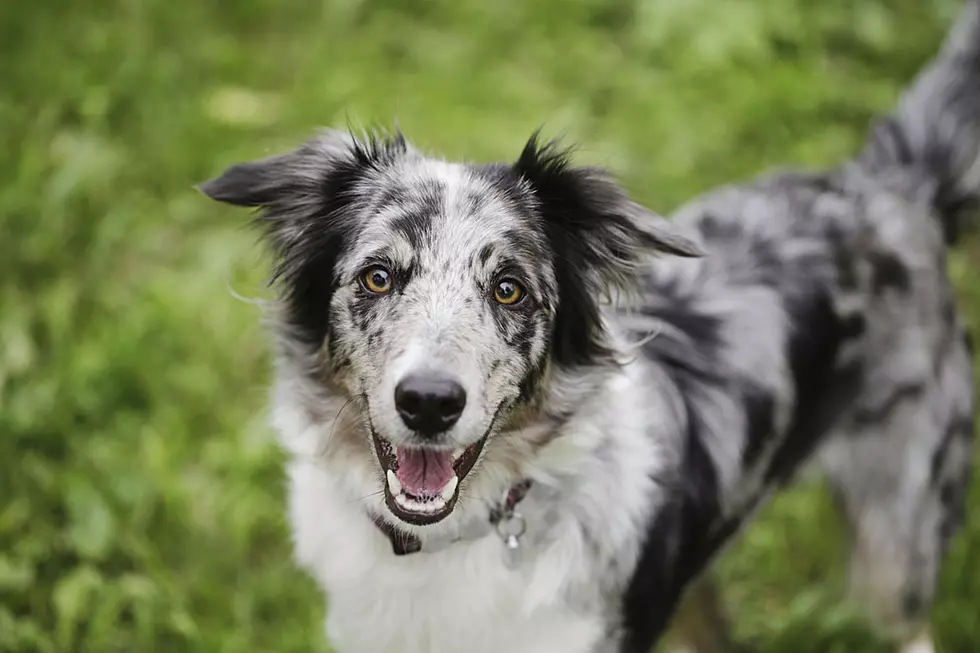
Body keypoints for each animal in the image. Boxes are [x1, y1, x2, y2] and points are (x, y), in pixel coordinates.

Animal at [201, 2, 980, 648]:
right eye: (377, 277)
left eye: (510, 290)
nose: (427, 402)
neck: (450, 541)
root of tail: (884, 185)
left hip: (896, 544)